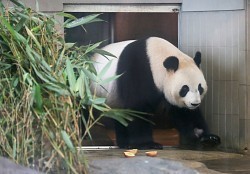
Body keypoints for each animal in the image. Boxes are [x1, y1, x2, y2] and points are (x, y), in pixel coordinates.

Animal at [92, 36, 221, 150]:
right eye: (185, 89)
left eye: (200, 87)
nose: (195, 104)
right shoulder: (137, 70)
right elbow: (138, 108)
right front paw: (147, 144)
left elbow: (182, 112)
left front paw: (206, 137)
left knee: (120, 116)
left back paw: (125, 144)